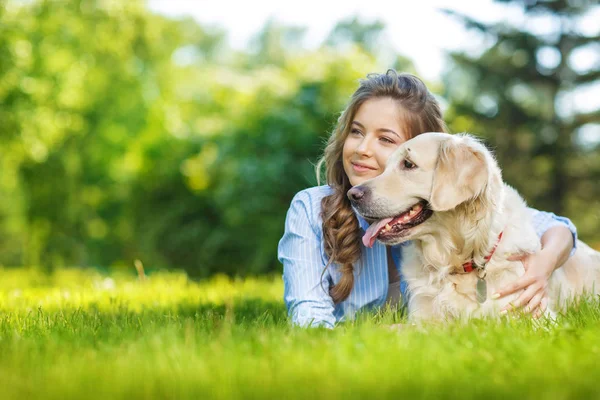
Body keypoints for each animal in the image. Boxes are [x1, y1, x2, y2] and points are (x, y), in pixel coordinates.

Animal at [350, 132, 600, 322]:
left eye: (408, 164)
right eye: (385, 167)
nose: (352, 195)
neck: (458, 261)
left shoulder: (537, 318)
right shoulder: (422, 320)